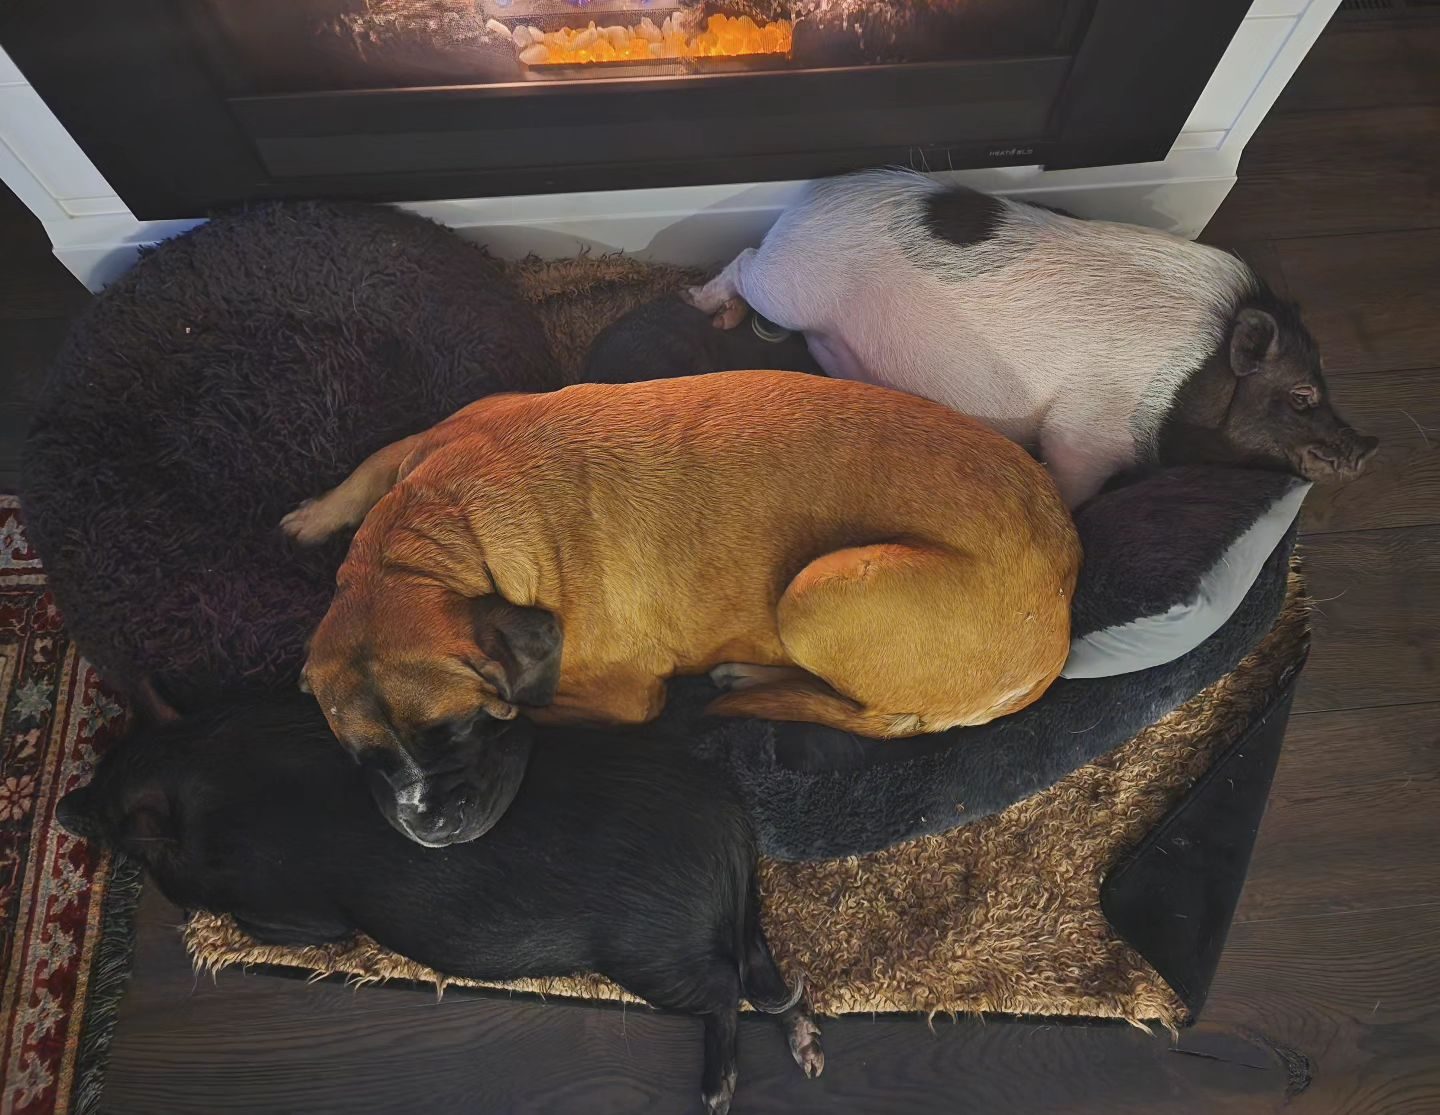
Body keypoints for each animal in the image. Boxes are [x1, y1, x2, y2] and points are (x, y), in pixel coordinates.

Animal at [687, 169, 1378, 507]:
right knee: (743, 262)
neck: (1193, 384)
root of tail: (812, 195)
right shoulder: (1085, 433)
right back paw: (706, 309)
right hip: (787, 281)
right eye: (1302, 394)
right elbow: (1070, 483)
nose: (1371, 445)